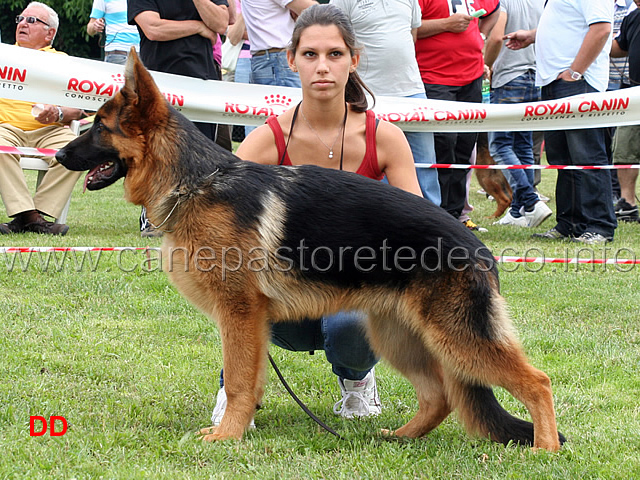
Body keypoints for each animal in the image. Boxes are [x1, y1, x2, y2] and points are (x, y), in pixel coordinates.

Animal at [56, 52, 564, 450]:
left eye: (98, 127)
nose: (59, 156)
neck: (196, 182)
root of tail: (477, 247)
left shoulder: (240, 313)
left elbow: (238, 380)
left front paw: (226, 437)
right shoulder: (251, 322)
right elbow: (248, 381)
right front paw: (238, 428)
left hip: (457, 339)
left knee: (538, 382)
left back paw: (546, 450)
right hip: (402, 337)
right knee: (439, 397)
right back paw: (398, 438)